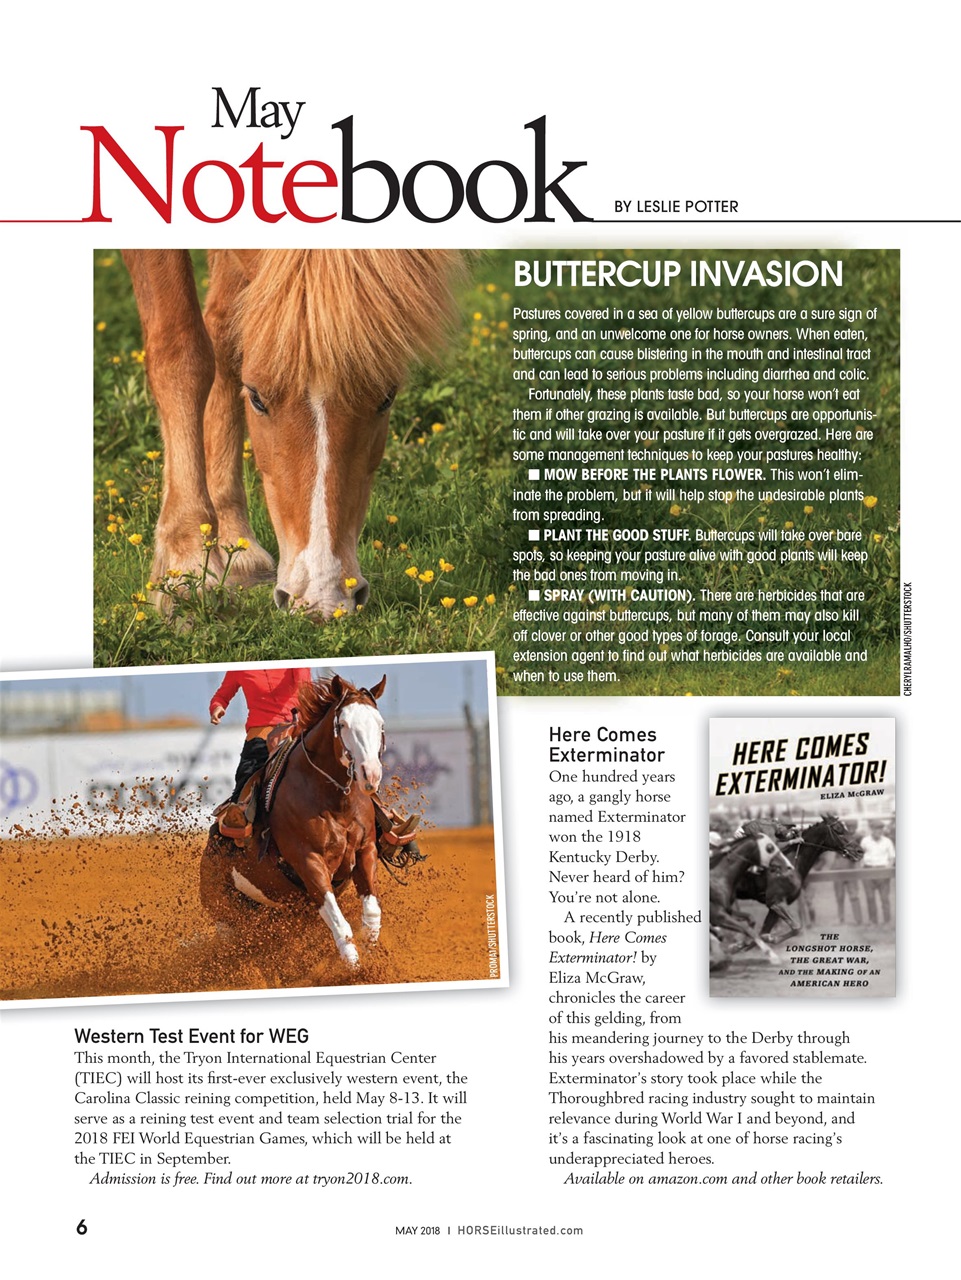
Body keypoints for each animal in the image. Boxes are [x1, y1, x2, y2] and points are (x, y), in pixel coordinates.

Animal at [122, 250, 465, 617]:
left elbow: (226, 339)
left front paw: (236, 545)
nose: (323, 599)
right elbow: (181, 349)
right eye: (256, 397)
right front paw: (187, 568)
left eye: (386, 398)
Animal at [199, 673, 390, 969]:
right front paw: (354, 969)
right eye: (343, 724)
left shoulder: (366, 849)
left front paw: (371, 959)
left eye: (379, 724)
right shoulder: (308, 860)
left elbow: (371, 915)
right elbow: (340, 924)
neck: (335, 801)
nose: (370, 774)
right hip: (229, 917)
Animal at [709, 833, 793, 965]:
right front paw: (773, 956)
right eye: (770, 848)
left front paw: (740, 944)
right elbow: (747, 929)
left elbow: (751, 919)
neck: (719, 876)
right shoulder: (717, 915)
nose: (789, 866)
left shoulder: (727, 910)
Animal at [733, 815, 863, 941]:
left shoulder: (775, 906)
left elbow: (766, 932)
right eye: (838, 830)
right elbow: (795, 928)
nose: (860, 851)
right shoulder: (774, 901)